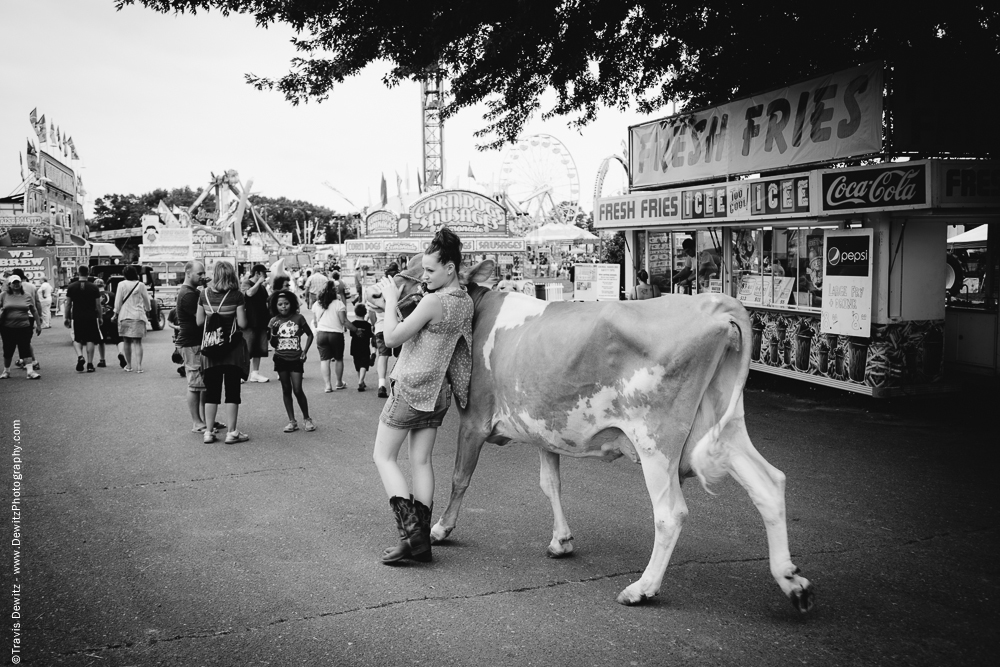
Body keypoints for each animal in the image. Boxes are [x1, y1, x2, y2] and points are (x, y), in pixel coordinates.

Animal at [390, 258, 812, 612]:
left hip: (655, 439)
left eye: (422, 271)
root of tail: (713, 303)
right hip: (724, 429)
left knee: (670, 513)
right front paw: (561, 541)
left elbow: (461, 476)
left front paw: (441, 528)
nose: (388, 283)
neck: (478, 311)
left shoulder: (474, 420)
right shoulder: (545, 427)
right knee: (769, 485)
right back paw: (792, 582)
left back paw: (642, 588)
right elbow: (550, 484)